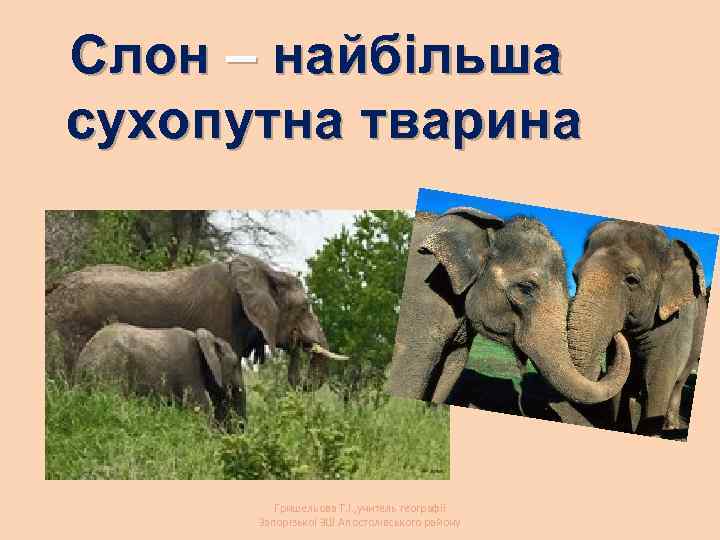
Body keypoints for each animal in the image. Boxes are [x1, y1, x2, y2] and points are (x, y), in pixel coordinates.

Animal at [567, 220, 709, 436]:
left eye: (632, 280)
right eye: (574, 276)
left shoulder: (675, 326)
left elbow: (657, 385)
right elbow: (622, 380)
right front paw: (618, 429)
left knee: (678, 383)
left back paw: (671, 426)